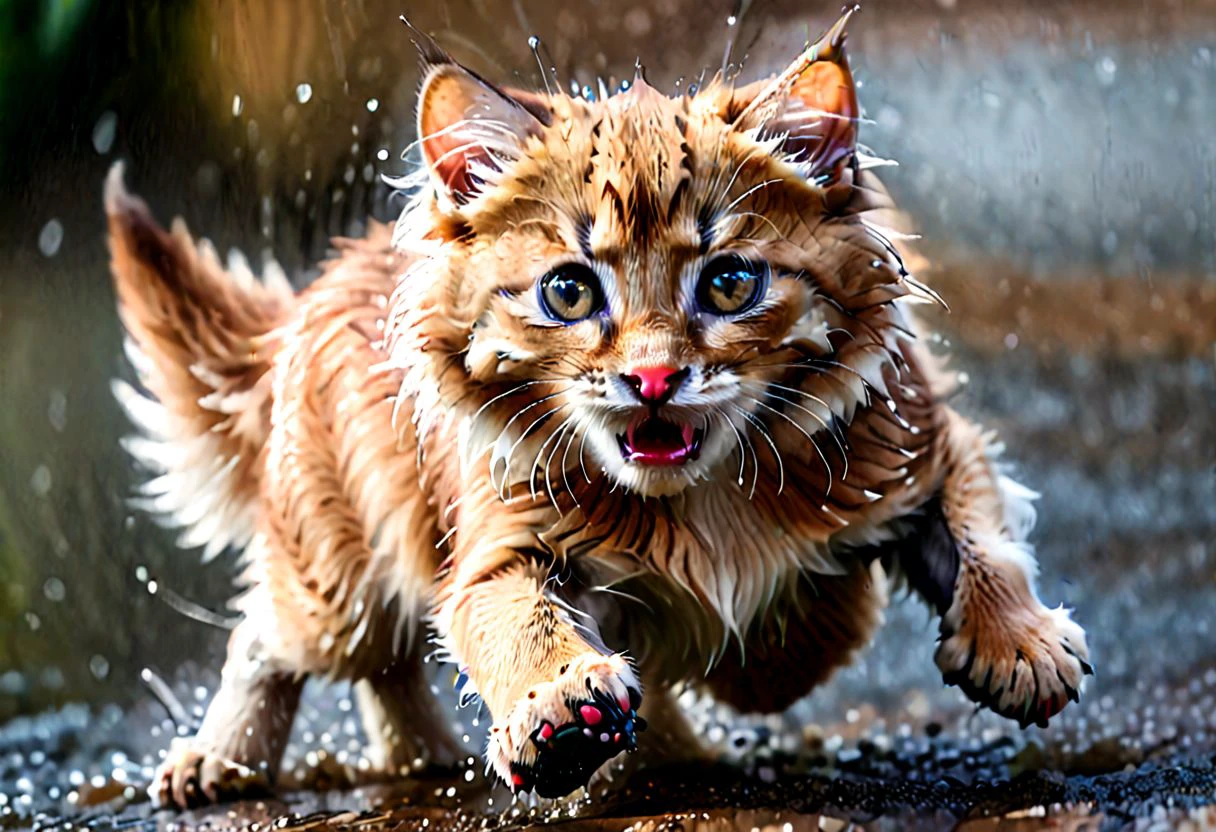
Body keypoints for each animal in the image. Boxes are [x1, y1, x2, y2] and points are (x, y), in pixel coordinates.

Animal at [104, 11, 1094, 807]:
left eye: (729, 284)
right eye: (570, 293)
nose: (653, 380)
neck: (700, 501)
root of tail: (324, 283)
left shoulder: (922, 440)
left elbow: (978, 536)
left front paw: (1018, 644)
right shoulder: (501, 539)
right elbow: (509, 620)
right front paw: (558, 698)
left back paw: (446, 755)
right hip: (335, 569)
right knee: (280, 632)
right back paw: (221, 761)